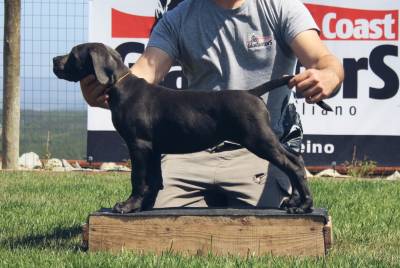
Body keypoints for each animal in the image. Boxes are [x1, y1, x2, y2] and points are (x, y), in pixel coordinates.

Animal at [53, 42, 314, 214]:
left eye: (73, 54)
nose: (54, 60)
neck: (121, 86)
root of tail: (252, 93)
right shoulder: (153, 148)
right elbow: (154, 180)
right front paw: (145, 206)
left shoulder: (138, 145)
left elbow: (138, 179)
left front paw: (128, 206)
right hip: (266, 139)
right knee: (296, 160)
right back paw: (295, 202)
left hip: (258, 139)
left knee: (292, 165)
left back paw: (304, 206)